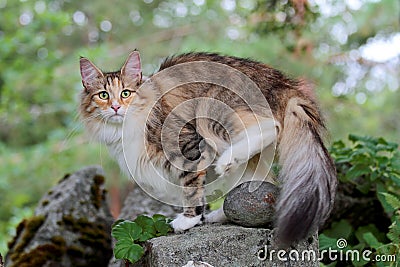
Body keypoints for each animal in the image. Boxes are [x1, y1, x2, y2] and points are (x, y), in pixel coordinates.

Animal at [79, 50, 338, 247]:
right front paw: (200, 216)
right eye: (103, 95)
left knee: (269, 128)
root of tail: (284, 84)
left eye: (126, 93)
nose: (115, 107)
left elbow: (191, 186)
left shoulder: (186, 144)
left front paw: (188, 220)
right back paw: (221, 214)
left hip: (209, 107)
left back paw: (227, 160)